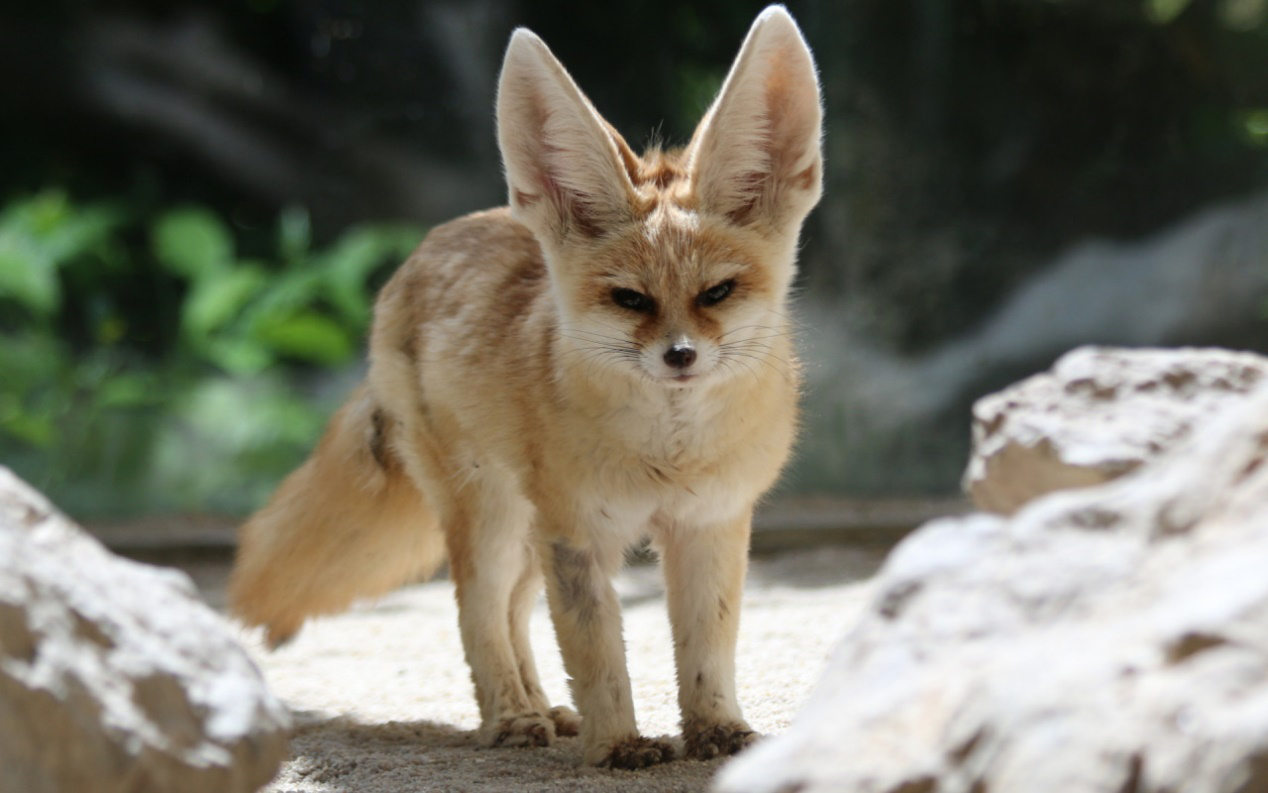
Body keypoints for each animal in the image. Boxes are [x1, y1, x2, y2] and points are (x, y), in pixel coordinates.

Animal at [228, 6, 821, 771]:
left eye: (717, 292)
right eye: (630, 299)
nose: (680, 356)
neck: (668, 454)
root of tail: (426, 249)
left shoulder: (708, 523)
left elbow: (707, 649)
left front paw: (718, 733)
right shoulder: (578, 534)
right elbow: (598, 656)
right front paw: (618, 742)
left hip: (525, 531)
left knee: (512, 610)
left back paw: (541, 707)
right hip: (491, 517)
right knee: (478, 612)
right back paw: (510, 716)